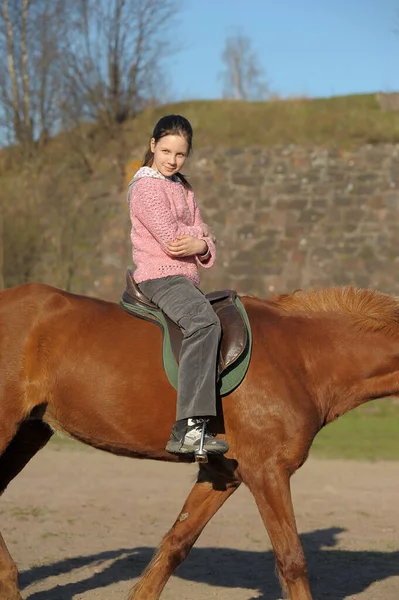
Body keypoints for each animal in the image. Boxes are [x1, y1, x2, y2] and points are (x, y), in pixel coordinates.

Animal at [0, 282, 399, 600]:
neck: (300, 355)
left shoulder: (223, 475)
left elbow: (175, 545)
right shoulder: (268, 473)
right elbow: (292, 561)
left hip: (29, 433)